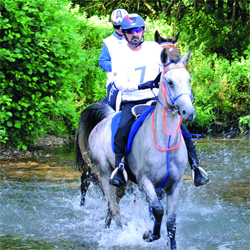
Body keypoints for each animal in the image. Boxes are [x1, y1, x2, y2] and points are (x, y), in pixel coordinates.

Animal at [75, 40, 194, 249]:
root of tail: (105, 118)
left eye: (188, 80)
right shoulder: (145, 182)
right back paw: (119, 235)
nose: (189, 112)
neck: (165, 143)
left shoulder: (175, 185)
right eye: (169, 82)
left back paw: (106, 229)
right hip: (104, 172)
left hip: (123, 183)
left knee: (111, 205)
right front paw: (148, 235)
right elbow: (157, 210)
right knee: (113, 208)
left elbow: (171, 222)